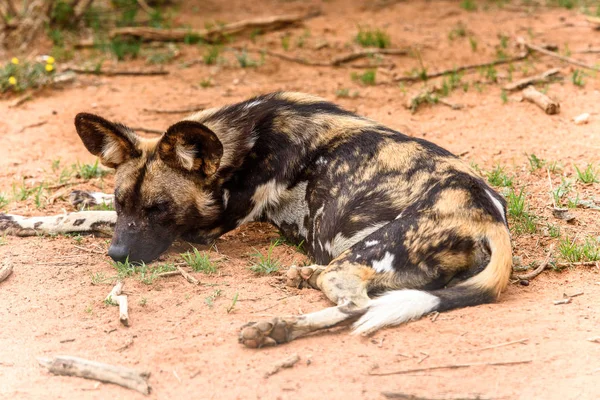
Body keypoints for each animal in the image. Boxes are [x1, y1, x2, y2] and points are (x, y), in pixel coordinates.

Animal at [1, 92, 516, 346]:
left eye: (159, 210)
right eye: (125, 199)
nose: (119, 256)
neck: (244, 140)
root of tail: (492, 220)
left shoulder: (202, 230)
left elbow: (92, 221)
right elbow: (88, 212)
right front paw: (42, 212)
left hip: (363, 255)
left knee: (358, 306)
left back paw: (278, 326)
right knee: (368, 295)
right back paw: (291, 299)